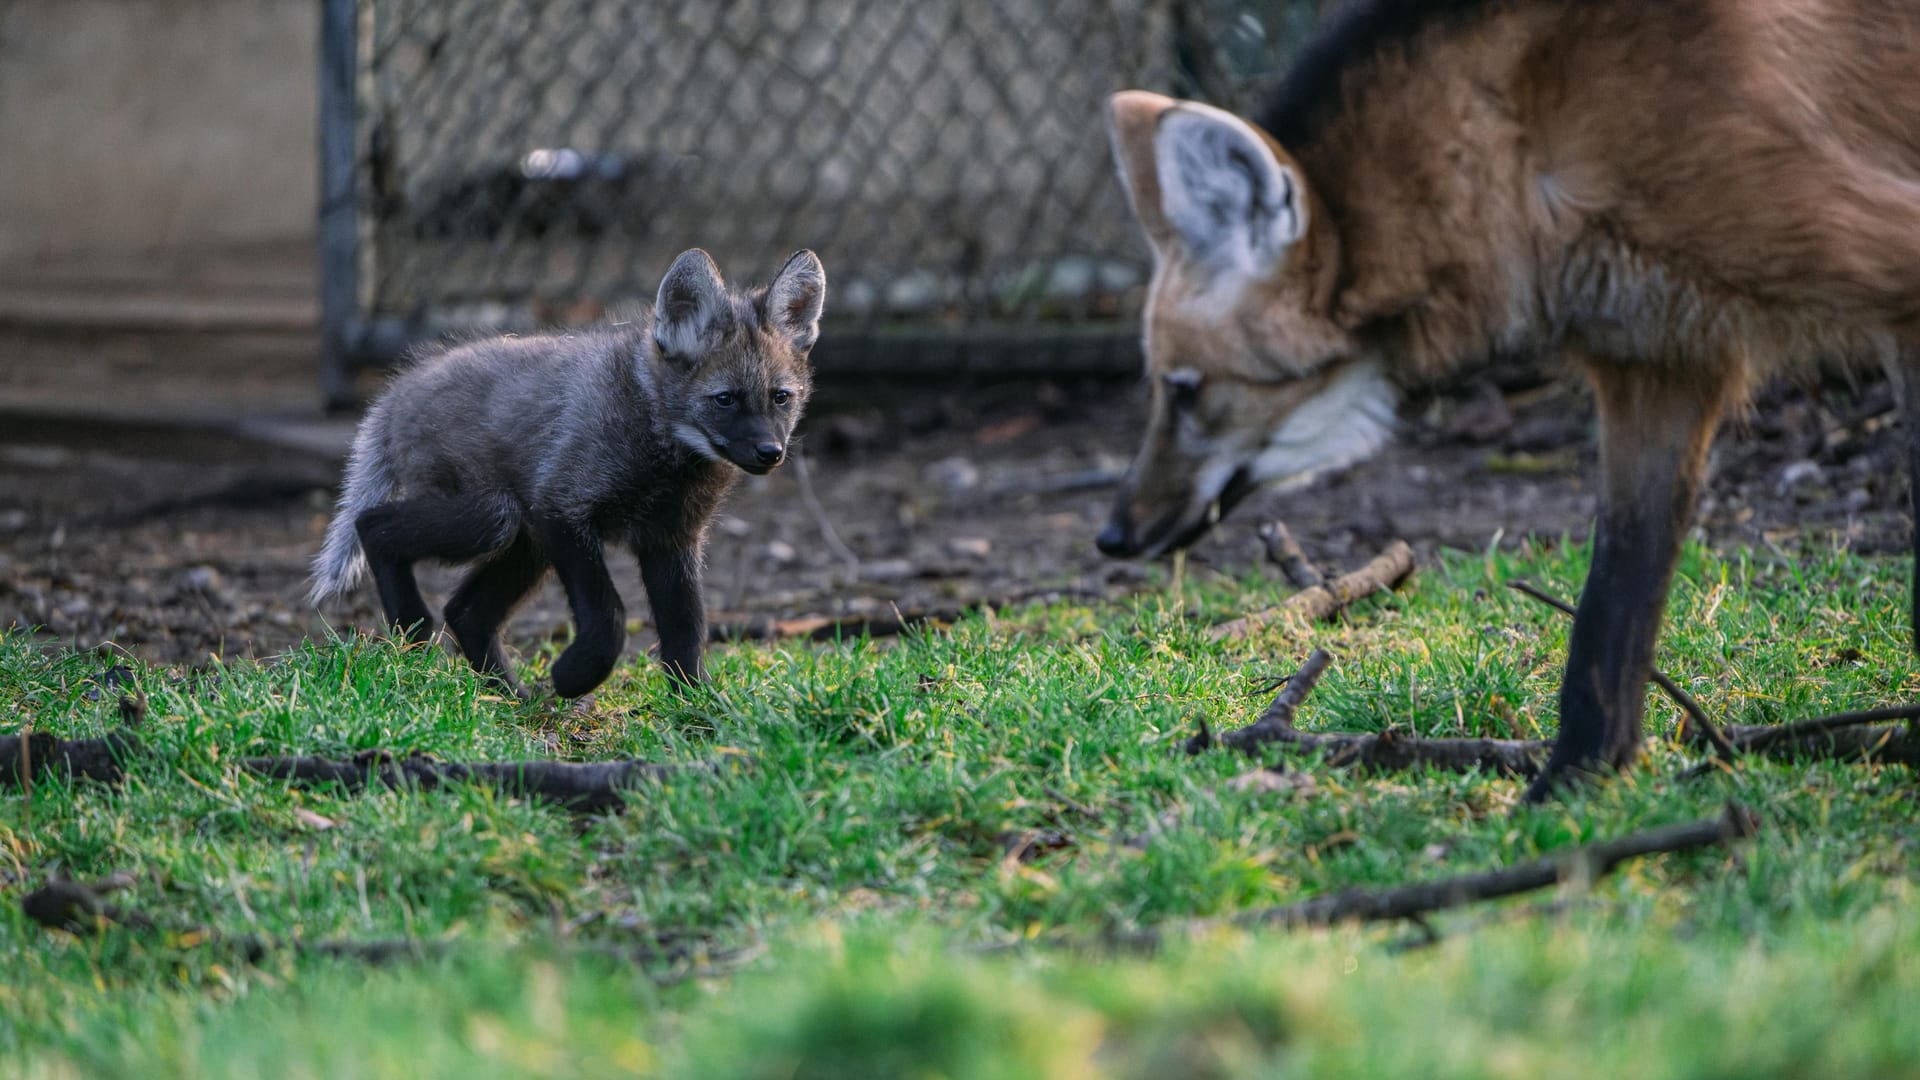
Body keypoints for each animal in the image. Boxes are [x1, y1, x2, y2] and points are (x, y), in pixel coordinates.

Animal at [1090, 2, 1920, 799]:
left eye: (1184, 389)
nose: (1112, 536)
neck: (1516, 135)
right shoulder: (1658, 353)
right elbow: (1609, 603)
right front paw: (1570, 793)